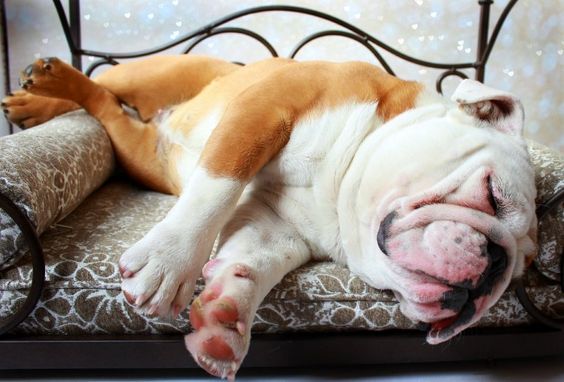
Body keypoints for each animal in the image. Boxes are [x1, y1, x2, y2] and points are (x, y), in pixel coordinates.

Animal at [5, 56, 536, 380]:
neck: (341, 187)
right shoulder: (267, 108)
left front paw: (224, 316)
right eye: (492, 195)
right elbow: (217, 184)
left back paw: (37, 102)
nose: (494, 267)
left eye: (518, 275)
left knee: (104, 107)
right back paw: (43, 86)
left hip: (139, 152)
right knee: (105, 82)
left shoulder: (276, 227)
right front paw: (169, 262)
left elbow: (250, 262)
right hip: (160, 72)